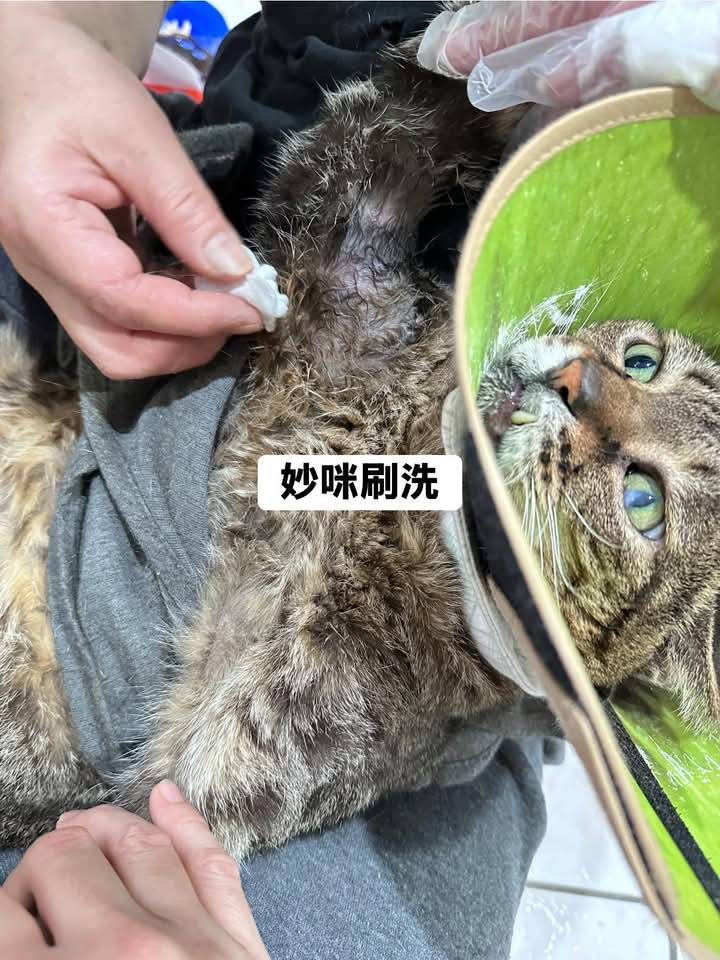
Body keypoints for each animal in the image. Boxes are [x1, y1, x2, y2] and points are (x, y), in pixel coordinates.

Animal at [0, 37, 717, 857]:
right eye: (642, 361)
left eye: (643, 501)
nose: (577, 382)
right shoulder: (336, 240)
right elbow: (395, 115)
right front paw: (553, 55)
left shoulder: (243, 753)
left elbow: (163, 810)